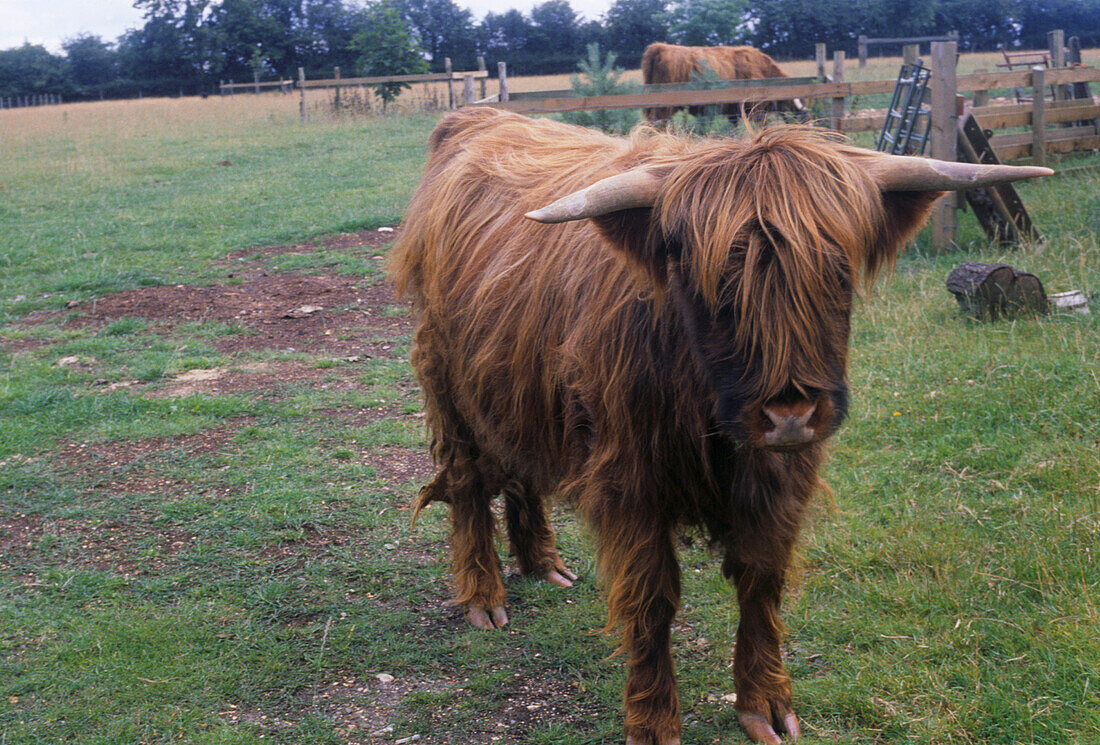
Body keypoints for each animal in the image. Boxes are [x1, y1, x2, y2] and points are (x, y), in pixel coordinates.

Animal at [387, 106, 1047, 743]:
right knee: (467, 481)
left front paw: (765, 704)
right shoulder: (632, 482)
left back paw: (542, 562)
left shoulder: (780, 479)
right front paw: (653, 721)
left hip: (515, 383)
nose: (789, 414)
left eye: (836, 272)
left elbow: (761, 581)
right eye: (713, 282)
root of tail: (474, 119)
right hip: (445, 380)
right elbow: (651, 599)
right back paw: (484, 596)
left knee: (519, 463)